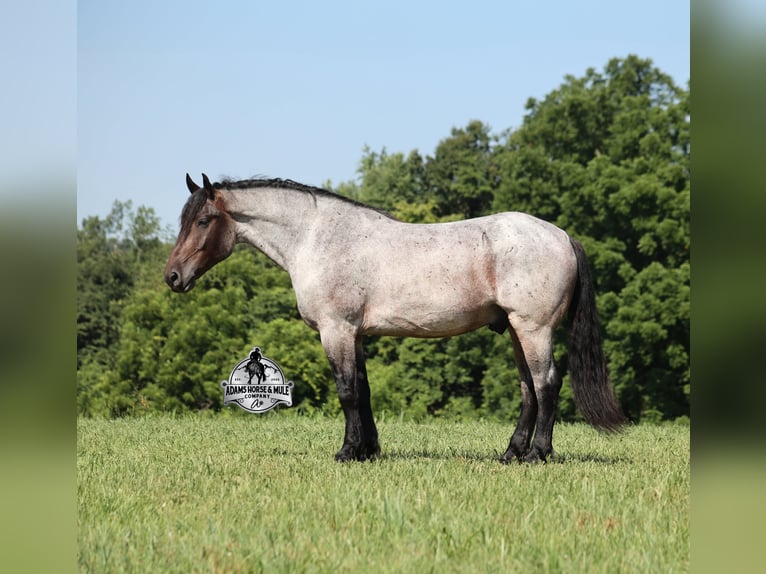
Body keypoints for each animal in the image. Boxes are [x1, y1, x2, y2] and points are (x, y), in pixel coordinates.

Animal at [165, 173, 625, 463]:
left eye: (203, 220)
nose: (172, 277)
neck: (318, 237)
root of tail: (561, 235)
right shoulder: (355, 335)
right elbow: (363, 391)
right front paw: (368, 451)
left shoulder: (336, 330)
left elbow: (347, 392)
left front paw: (347, 453)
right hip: (515, 330)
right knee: (529, 389)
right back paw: (510, 453)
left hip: (533, 329)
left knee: (547, 385)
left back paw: (537, 455)